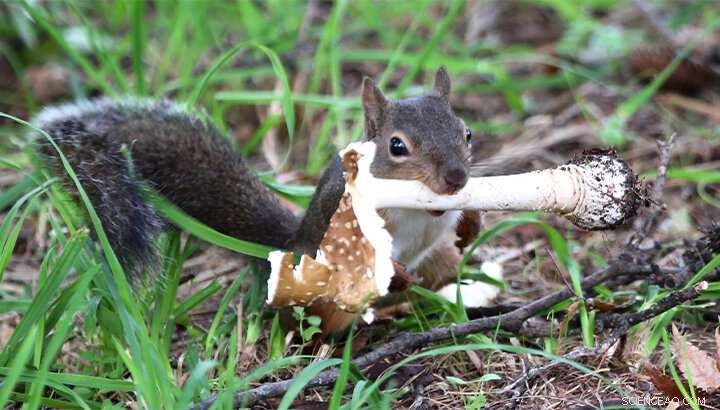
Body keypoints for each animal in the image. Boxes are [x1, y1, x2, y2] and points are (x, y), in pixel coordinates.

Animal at [34, 67, 482, 334]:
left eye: (467, 132)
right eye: (397, 146)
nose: (456, 178)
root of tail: (287, 251)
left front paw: (471, 221)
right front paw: (396, 270)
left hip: (439, 259)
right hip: (329, 301)